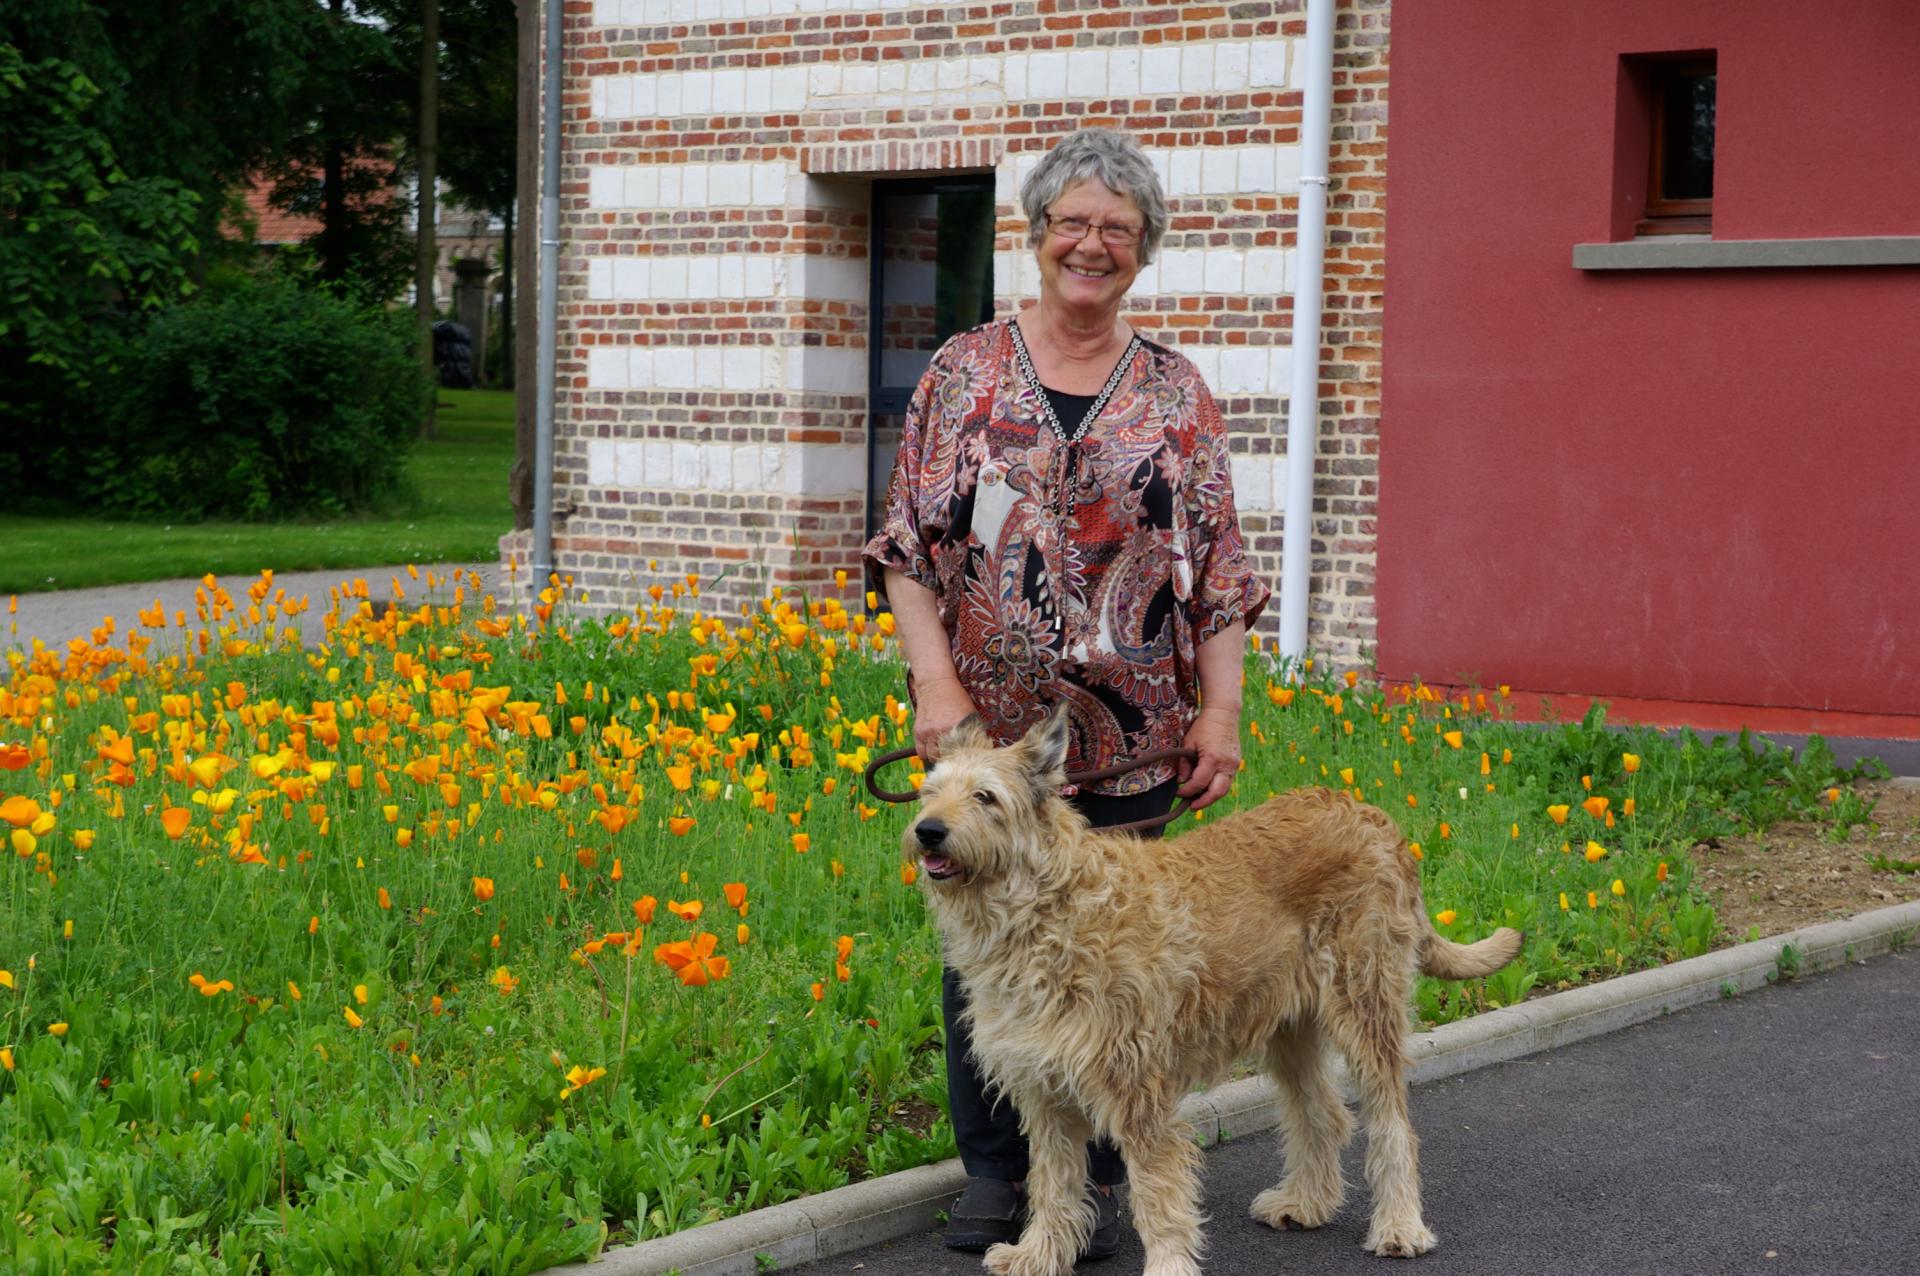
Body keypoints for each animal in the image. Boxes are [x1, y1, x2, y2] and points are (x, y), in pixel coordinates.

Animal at [906, 706, 1520, 1274]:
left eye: (985, 797)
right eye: (930, 793)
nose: (927, 831)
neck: (1044, 908)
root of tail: (1370, 814)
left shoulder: (1139, 1094)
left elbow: (1157, 1196)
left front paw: (1166, 1266)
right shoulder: (1044, 1090)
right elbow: (1052, 1186)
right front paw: (1038, 1256)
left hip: (1366, 1008)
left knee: (1391, 1123)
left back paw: (1399, 1226)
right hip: (1288, 1028)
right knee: (1322, 1112)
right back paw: (1306, 1203)